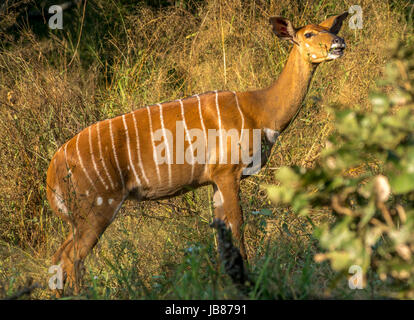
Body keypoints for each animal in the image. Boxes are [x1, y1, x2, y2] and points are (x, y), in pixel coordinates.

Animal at [47, 12, 348, 292]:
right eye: (308, 34)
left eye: (329, 28)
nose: (339, 43)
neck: (259, 110)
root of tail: (55, 166)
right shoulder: (228, 172)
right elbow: (237, 225)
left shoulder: (214, 179)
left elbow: (221, 234)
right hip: (98, 205)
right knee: (72, 257)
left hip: (82, 214)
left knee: (59, 255)